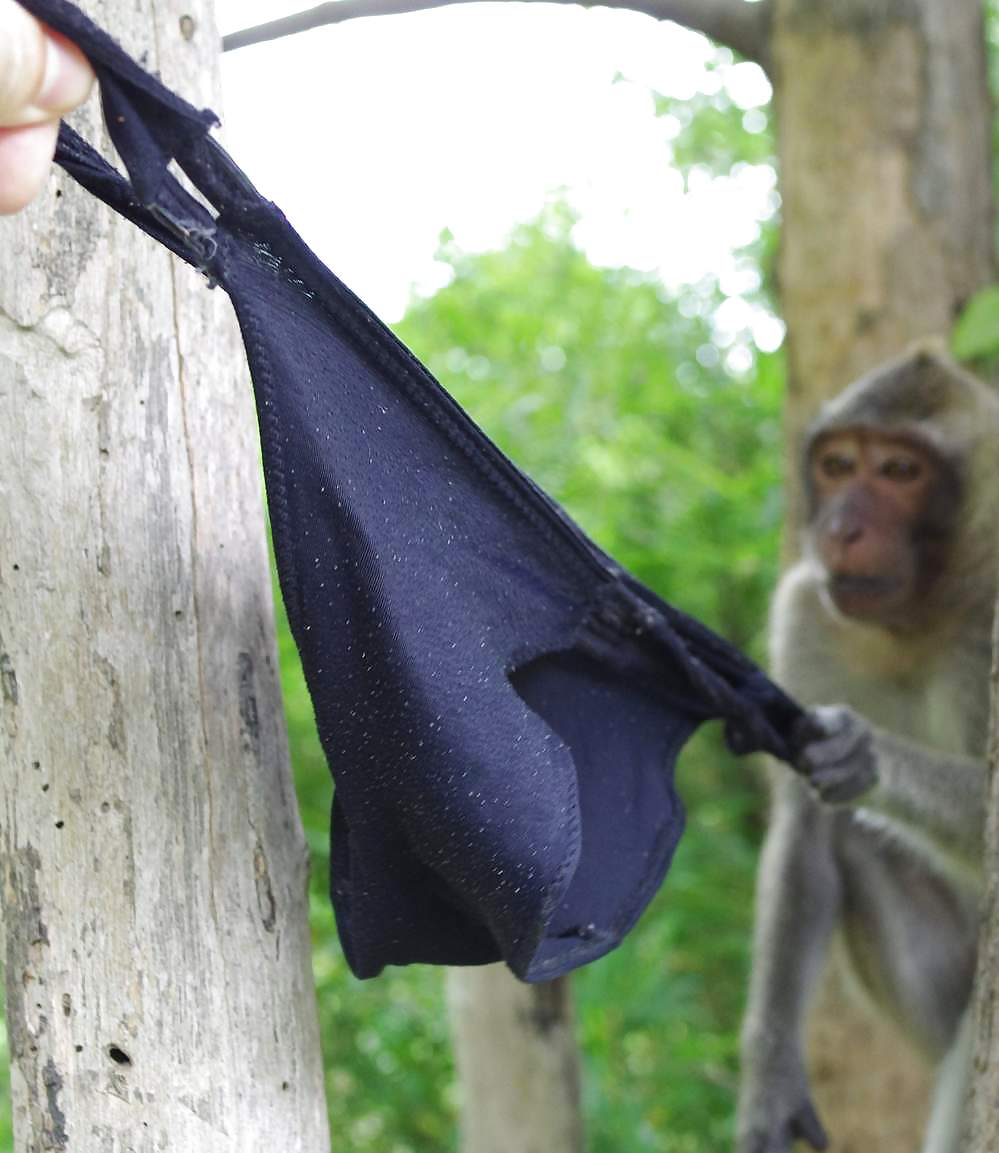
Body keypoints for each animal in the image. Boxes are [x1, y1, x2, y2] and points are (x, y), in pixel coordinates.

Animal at [736, 346, 999, 1153]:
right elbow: (804, 823)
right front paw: (771, 1074)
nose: (842, 527)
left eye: (899, 471)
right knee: (850, 833)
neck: (925, 612)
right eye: (838, 464)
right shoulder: (805, 611)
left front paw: (869, 751)